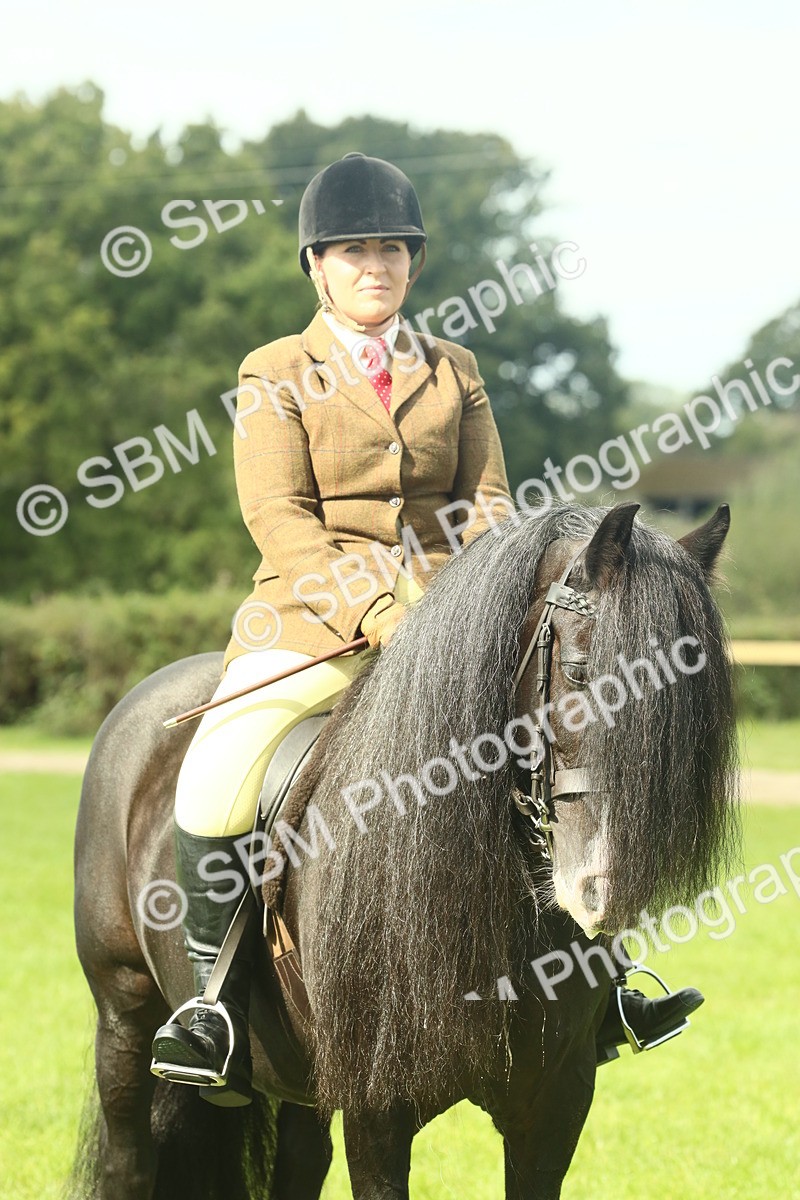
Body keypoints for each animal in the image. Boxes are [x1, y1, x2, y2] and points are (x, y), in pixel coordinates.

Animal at [69, 501, 739, 1200]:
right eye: (580, 673)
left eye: (697, 699)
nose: (599, 889)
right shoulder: (377, 1109)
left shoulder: (554, 1103)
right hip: (123, 1015)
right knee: (128, 1158)